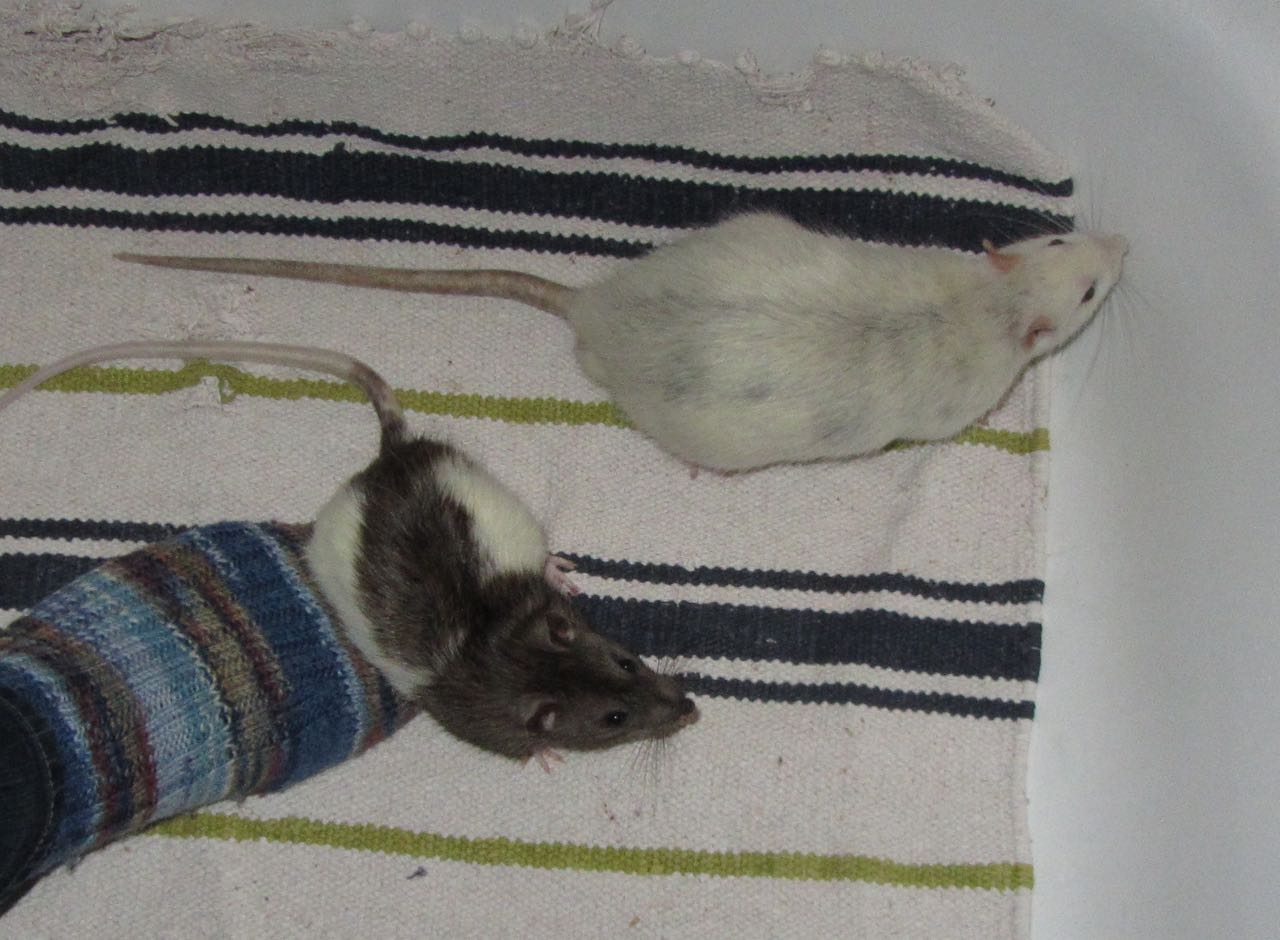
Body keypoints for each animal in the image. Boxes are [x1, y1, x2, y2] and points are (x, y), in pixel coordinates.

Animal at [0, 340, 698, 767]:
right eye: (613, 718)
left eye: (628, 661)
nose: (690, 708)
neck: (504, 650)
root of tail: (389, 458)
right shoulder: (475, 720)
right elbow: (513, 744)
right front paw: (546, 753)